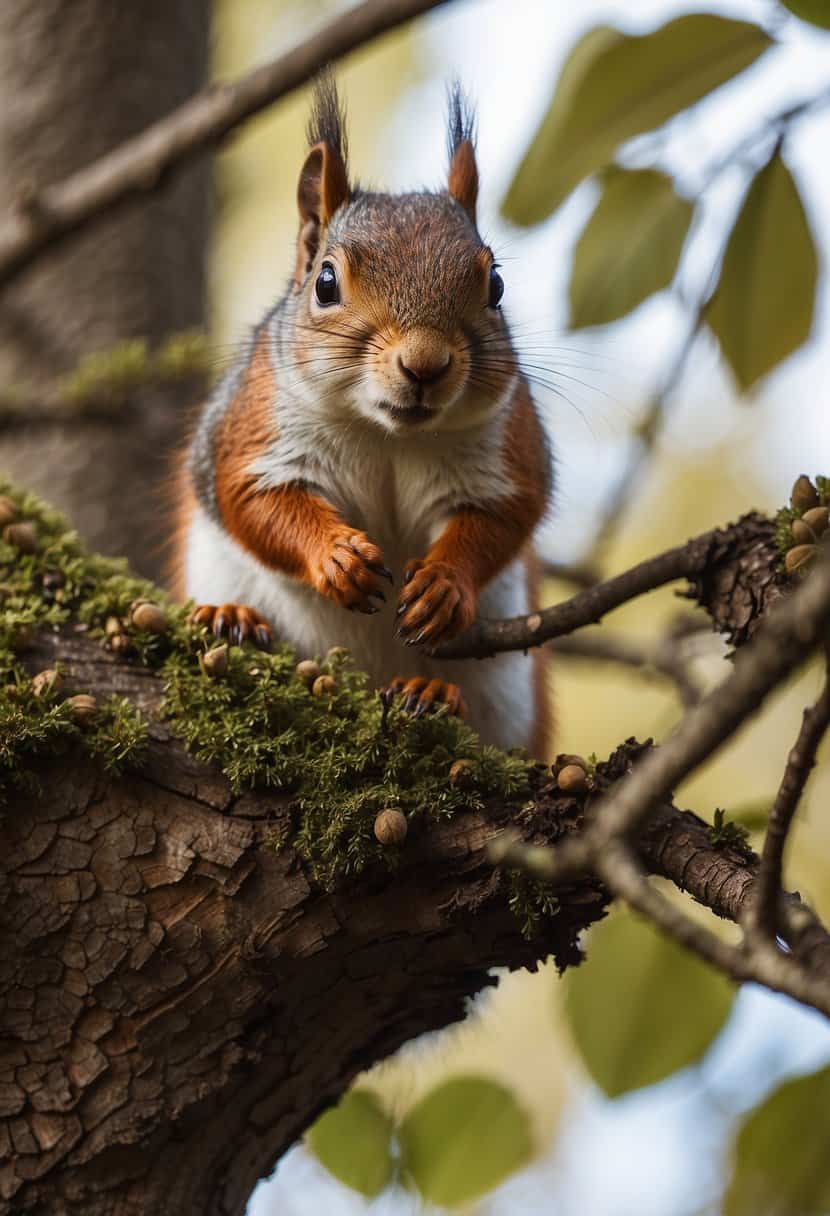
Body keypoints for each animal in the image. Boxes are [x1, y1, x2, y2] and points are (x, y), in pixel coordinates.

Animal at [170, 76, 551, 753]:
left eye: (496, 286)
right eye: (325, 283)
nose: (424, 364)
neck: (387, 435)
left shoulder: (508, 447)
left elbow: (505, 516)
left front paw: (444, 583)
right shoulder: (254, 429)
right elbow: (252, 500)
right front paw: (336, 558)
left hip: (504, 691)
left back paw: (432, 693)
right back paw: (229, 617)